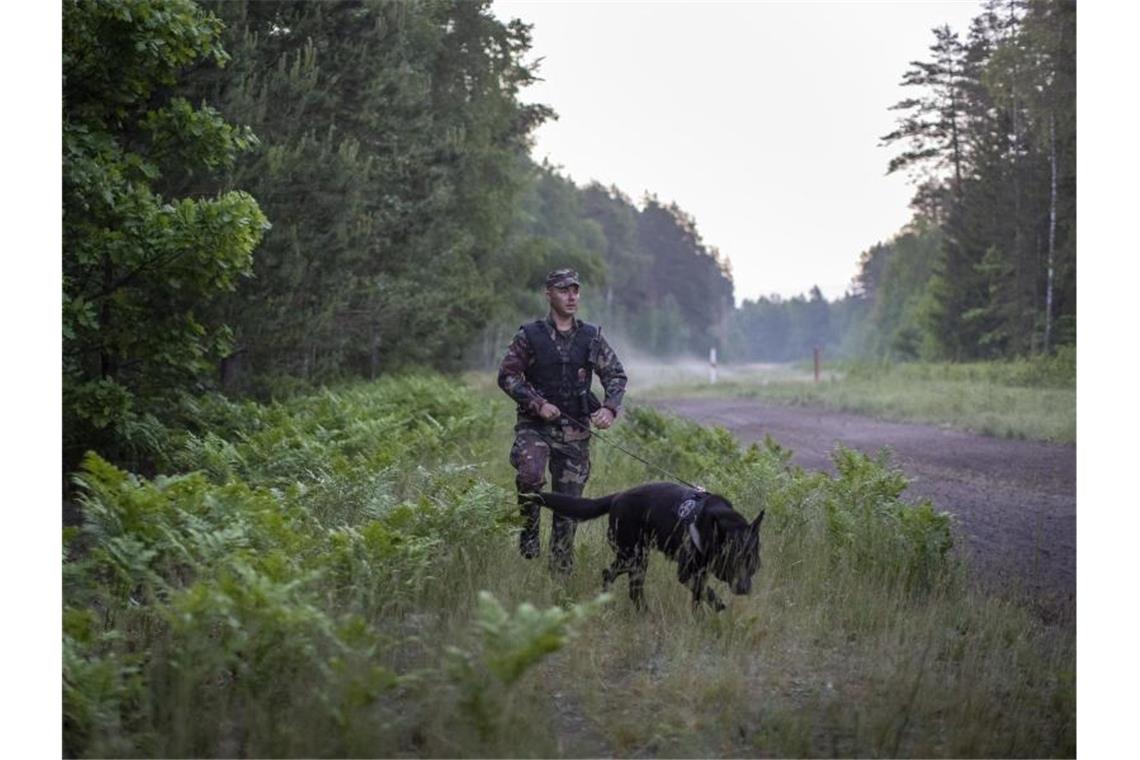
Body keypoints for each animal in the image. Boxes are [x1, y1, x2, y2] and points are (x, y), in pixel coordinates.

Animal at [526, 487, 761, 610]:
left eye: (751, 561)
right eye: (732, 560)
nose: (744, 589)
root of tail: (617, 496)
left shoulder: (700, 572)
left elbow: (698, 597)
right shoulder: (686, 573)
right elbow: (704, 592)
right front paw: (717, 604)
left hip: (634, 557)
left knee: (614, 576)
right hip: (634, 556)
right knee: (625, 583)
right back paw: (641, 610)